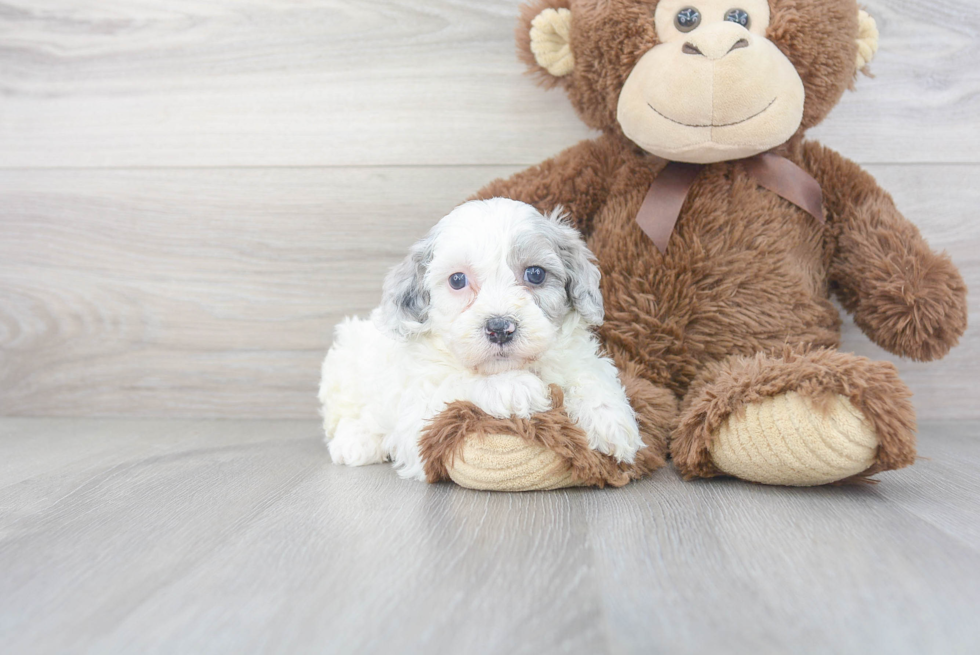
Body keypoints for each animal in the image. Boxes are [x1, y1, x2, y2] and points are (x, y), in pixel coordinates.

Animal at [320, 197, 644, 480]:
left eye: (535, 274)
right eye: (457, 280)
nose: (500, 328)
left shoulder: (576, 355)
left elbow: (592, 372)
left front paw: (610, 419)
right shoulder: (419, 415)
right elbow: (456, 386)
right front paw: (514, 386)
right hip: (344, 364)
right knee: (343, 415)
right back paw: (356, 442)